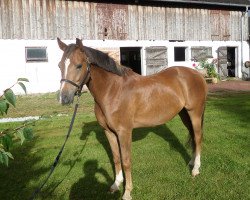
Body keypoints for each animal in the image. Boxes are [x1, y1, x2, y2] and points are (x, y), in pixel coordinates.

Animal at [56, 38, 207, 199]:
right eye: (60, 65)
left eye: (79, 65)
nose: (64, 98)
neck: (112, 90)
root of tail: (197, 75)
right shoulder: (108, 132)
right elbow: (116, 158)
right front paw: (116, 184)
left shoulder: (124, 132)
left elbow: (126, 161)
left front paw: (127, 192)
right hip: (184, 114)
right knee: (193, 137)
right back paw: (191, 162)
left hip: (195, 113)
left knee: (198, 138)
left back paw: (196, 169)